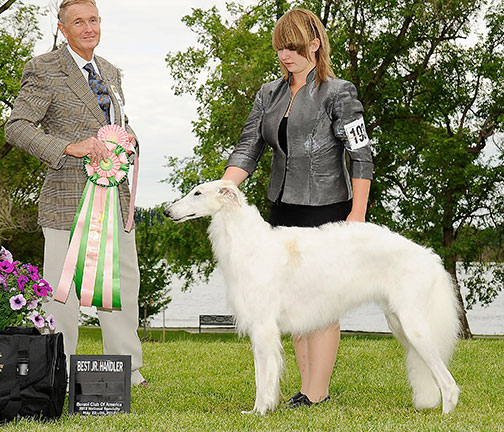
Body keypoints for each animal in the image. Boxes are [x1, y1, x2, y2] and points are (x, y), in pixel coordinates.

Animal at [165, 180, 460, 416]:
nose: (167, 212)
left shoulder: (263, 327)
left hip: (414, 326)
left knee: (449, 383)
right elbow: (263, 376)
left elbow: (264, 378)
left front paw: (259, 412)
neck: (248, 242)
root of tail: (429, 257)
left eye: (197, 193)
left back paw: (446, 415)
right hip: (398, 323)